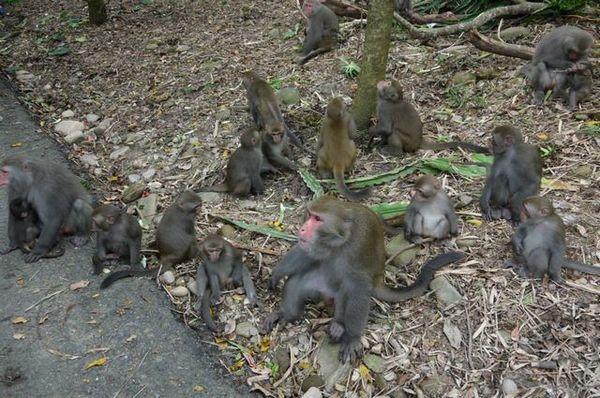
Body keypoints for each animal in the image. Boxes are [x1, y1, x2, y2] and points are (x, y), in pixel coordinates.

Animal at [262, 196, 464, 364]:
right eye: (310, 215)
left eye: (318, 219)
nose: (302, 228)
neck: (338, 241)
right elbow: (305, 254)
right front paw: (277, 274)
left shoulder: (357, 249)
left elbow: (358, 289)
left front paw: (352, 338)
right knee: (299, 280)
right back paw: (287, 314)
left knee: (350, 293)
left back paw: (339, 326)